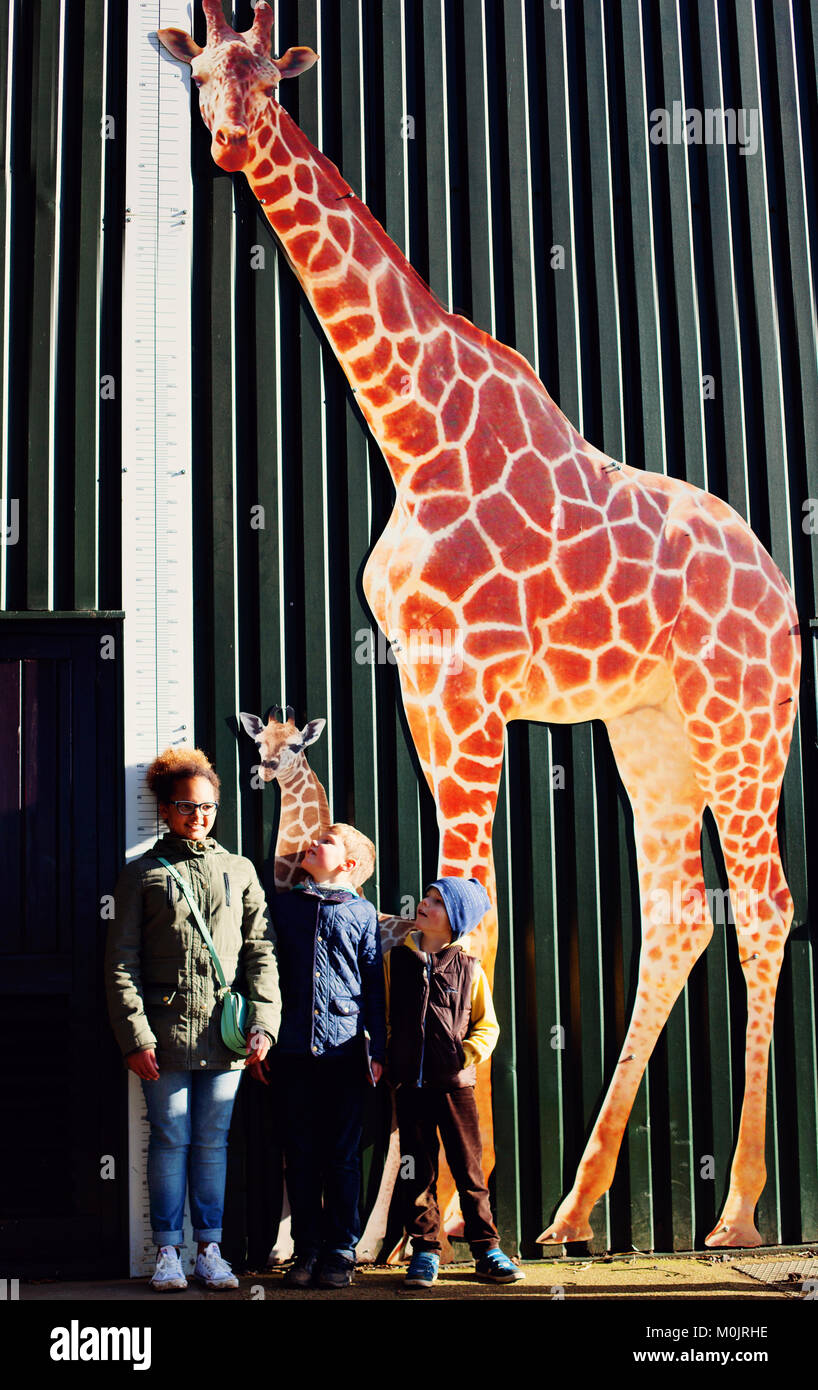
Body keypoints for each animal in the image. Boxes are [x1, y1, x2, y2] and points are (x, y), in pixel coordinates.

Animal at [159, 2, 801, 1249]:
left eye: (268, 73)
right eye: (198, 71)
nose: (223, 142)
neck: (411, 433)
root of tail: (782, 593)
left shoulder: (470, 682)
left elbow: (464, 914)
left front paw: (431, 1211)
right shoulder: (422, 681)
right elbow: (467, 911)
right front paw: (446, 1206)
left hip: (739, 720)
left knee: (761, 904)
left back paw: (735, 1210)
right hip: (647, 730)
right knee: (676, 912)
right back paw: (570, 1204)